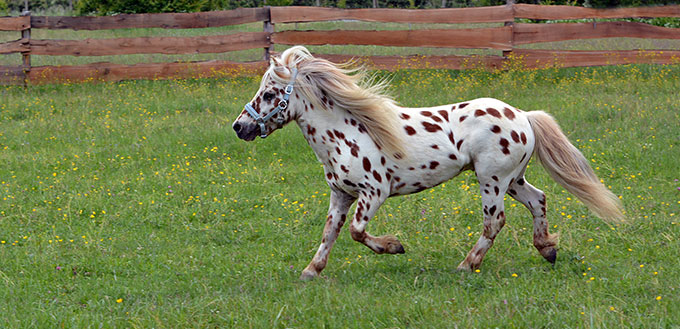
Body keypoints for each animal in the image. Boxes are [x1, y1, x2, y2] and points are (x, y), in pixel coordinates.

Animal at [231, 45, 624, 280]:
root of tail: (524, 116)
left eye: (270, 94)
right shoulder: (340, 194)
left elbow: (357, 232)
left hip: (492, 180)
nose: (240, 127)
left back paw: (467, 265)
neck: (347, 133)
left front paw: (395, 246)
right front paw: (311, 271)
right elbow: (330, 232)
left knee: (494, 221)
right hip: (513, 180)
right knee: (538, 200)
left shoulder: (374, 192)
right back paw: (548, 249)